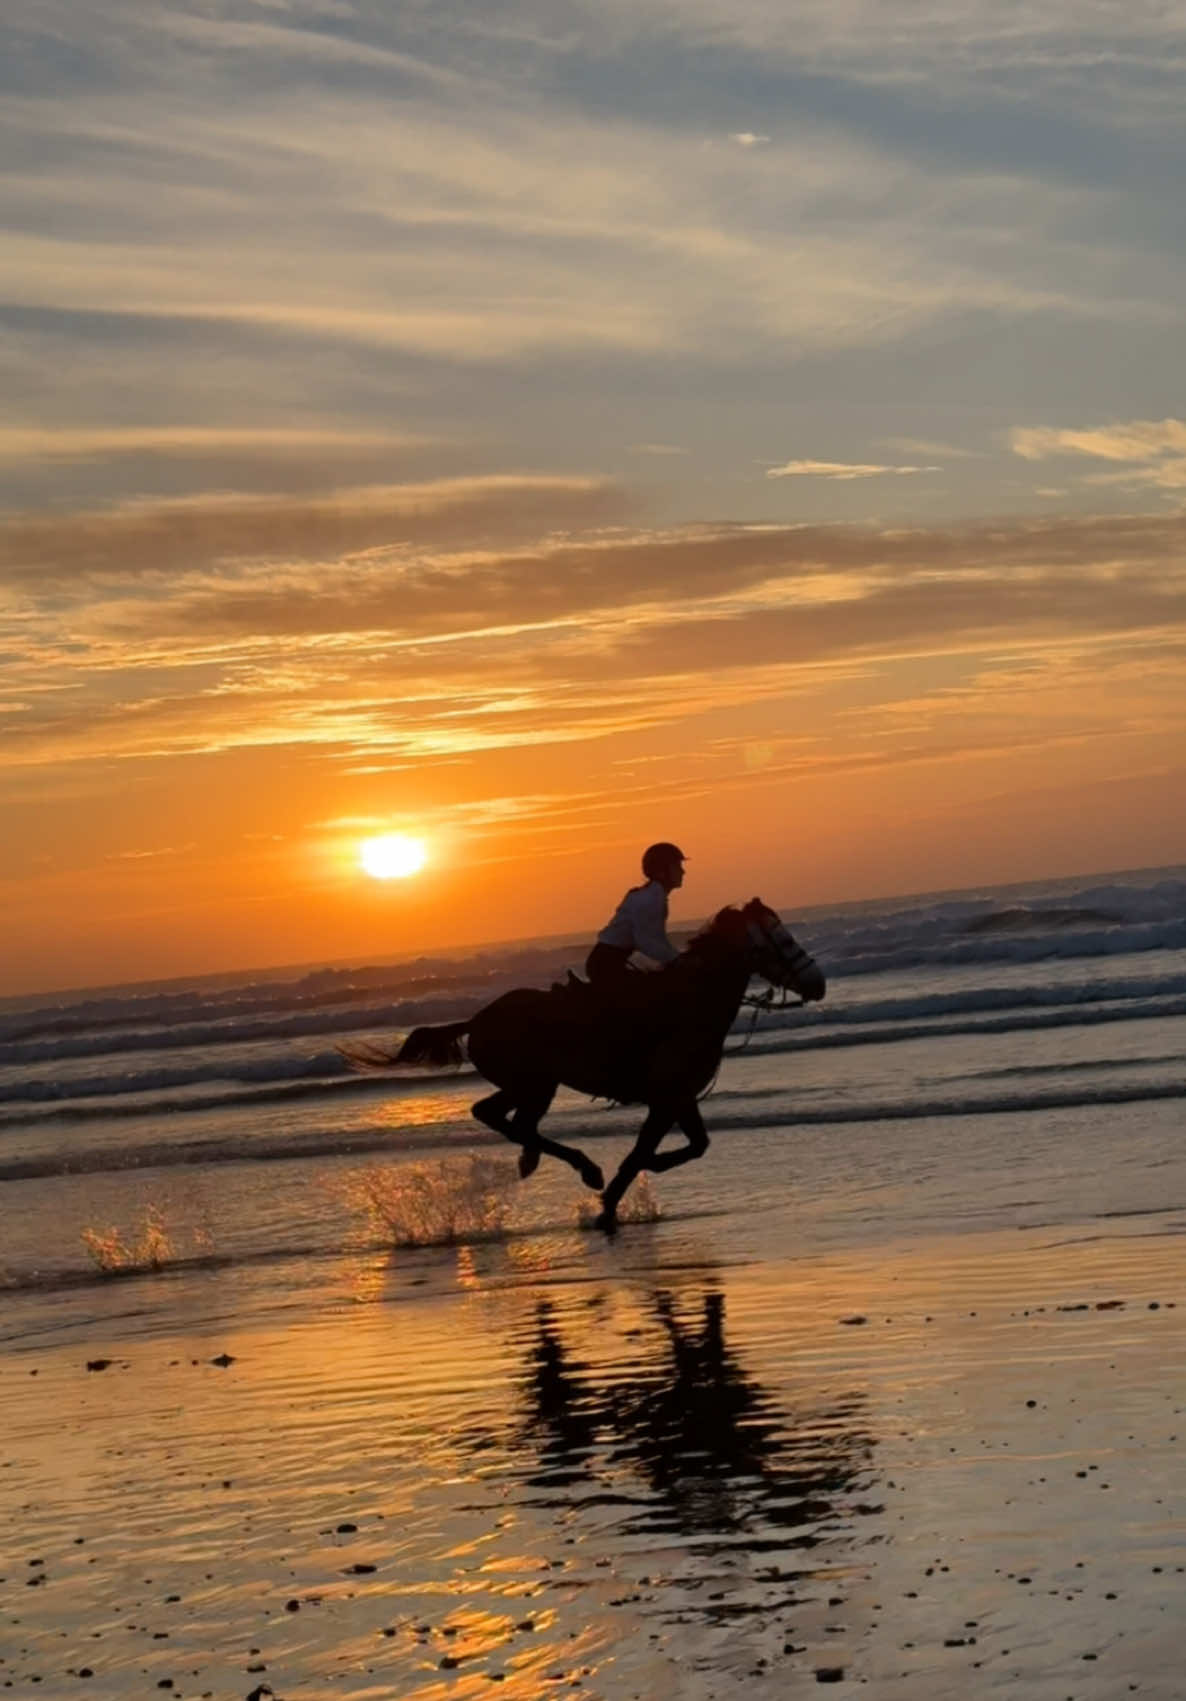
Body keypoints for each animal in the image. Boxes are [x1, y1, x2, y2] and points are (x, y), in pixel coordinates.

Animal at [360, 898, 823, 1231]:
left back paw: (534, 1160)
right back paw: (585, 1168)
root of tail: (476, 1020)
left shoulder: (680, 1099)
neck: (691, 1005)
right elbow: (646, 1153)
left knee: (501, 1117)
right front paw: (610, 1200)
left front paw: (621, 1191)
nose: (817, 984)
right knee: (508, 1118)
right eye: (782, 940)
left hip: (531, 1085)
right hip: (536, 1084)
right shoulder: (666, 1099)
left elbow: (693, 1145)